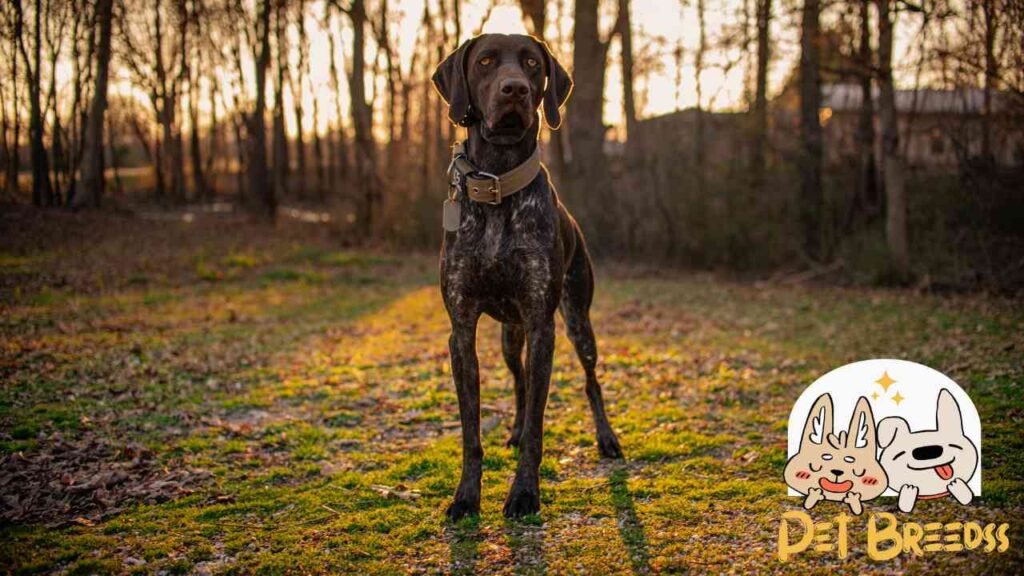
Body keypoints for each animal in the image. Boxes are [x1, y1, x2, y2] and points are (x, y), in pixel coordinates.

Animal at [428, 33, 618, 518]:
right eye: (485, 62)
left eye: (532, 63)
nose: (513, 89)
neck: (497, 182)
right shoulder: (462, 332)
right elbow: (472, 431)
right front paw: (466, 496)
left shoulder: (541, 325)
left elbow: (538, 423)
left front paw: (524, 492)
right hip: (510, 339)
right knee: (518, 381)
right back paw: (512, 430)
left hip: (576, 323)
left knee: (590, 382)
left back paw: (607, 438)